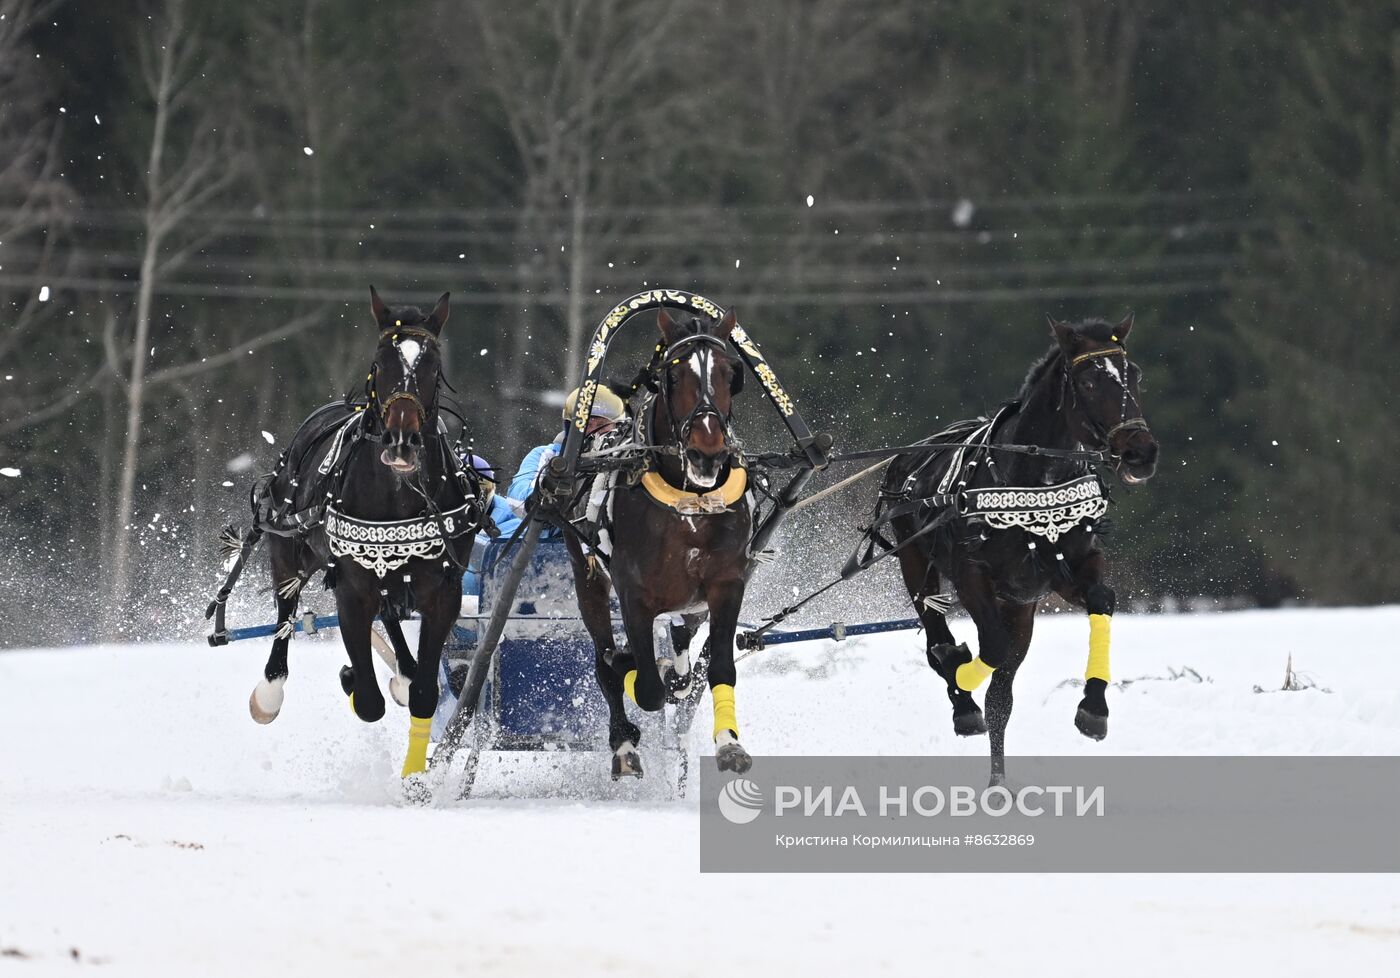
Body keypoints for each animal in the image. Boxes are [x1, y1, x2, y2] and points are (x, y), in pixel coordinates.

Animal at [240, 288, 481, 777]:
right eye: (380, 361)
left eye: (432, 365)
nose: (401, 441)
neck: (399, 497)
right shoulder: (351, 591)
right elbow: (369, 702)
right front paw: (353, 677)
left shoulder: (442, 592)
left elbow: (425, 693)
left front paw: (415, 777)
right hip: (287, 548)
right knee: (286, 611)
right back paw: (269, 693)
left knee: (390, 617)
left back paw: (402, 672)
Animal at [560, 306, 756, 777]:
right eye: (674, 373)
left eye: (730, 373)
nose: (708, 452)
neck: (690, 503)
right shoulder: (633, 595)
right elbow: (644, 687)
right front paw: (631, 671)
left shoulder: (726, 585)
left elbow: (719, 668)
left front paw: (729, 743)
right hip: (587, 580)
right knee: (607, 661)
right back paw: (623, 741)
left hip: (692, 603)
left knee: (683, 644)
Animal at [884, 317, 1159, 783]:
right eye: (1087, 381)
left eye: (1134, 374)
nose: (1141, 451)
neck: (1032, 481)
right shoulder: (972, 575)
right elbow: (987, 648)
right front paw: (960, 673)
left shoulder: (1066, 571)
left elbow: (1102, 599)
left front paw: (1094, 708)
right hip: (916, 564)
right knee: (937, 633)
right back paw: (960, 693)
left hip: (1019, 608)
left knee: (1000, 696)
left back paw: (998, 781)